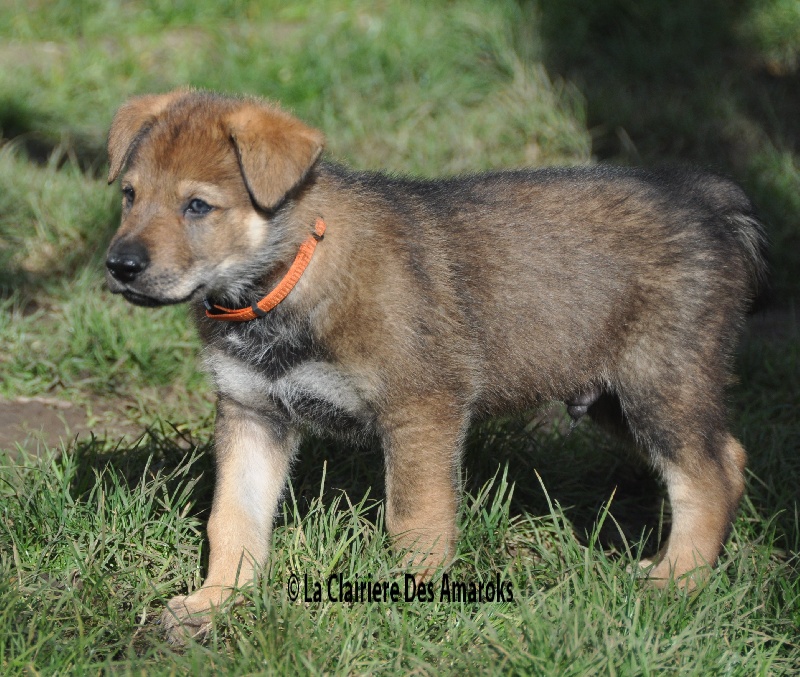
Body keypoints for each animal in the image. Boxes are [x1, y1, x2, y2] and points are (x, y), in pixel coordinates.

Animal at [103, 88, 764, 640]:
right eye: (130, 195)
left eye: (198, 206)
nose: (119, 265)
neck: (289, 279)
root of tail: (709, 202)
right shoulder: (252, 411)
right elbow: (234, 519)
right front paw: (216, 603)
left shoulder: (420, 411)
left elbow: (414, 521)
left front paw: (408, 603)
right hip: (613, 398)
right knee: (724, 458)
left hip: (658, 384)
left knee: (710, 475)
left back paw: (676, 582)